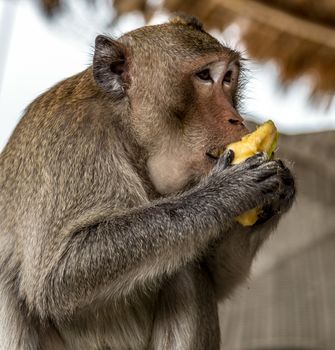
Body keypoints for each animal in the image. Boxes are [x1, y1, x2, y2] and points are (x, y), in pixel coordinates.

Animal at [0, 14, 294, 350]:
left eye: (229, 78)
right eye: (204, 76)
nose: (236, 119)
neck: (126, 132)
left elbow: (216, 276)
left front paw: (281, 189)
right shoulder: (70, 142)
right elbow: (56, 279)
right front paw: (226, 192)